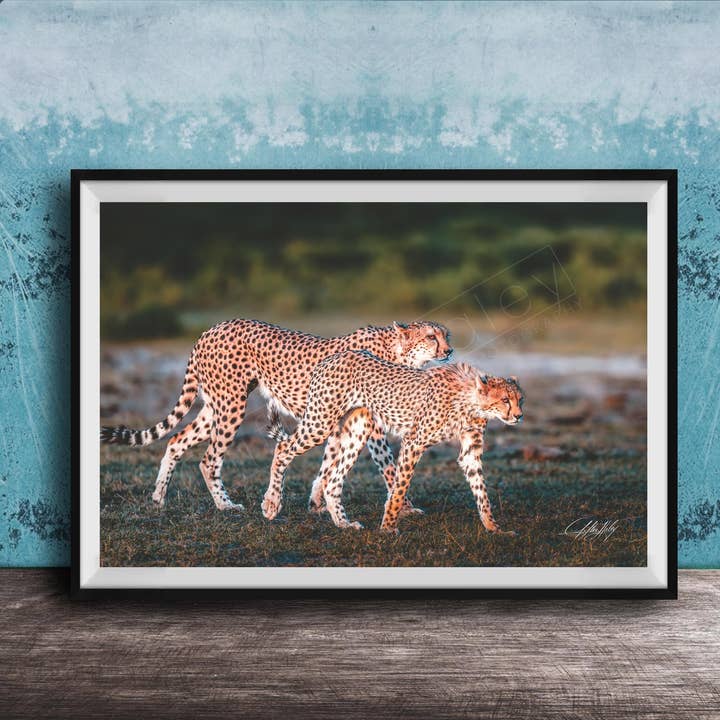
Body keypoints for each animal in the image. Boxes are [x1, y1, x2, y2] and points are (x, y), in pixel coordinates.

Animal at [100, 319, 452, 512]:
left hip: (216, 405)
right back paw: (225, 505)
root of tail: (211, 328)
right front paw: (404, 507)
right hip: (231, 405)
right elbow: (388, 465)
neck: (398, 354)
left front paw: (317, 501)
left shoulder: (337, 420)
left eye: (446, 335)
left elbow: (327, 461)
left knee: (176, 440)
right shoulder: (370, 425)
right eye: (430, 337)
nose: (449, 351)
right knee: (209, 458)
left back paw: (159, 497)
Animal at [264, 349, 523, 534]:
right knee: (283, 448)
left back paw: (344, 524)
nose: (519, 416)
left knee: (332, 481)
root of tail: (331, 358)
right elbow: (399, 488)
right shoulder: (413, 442)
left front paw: (494, 528)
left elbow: (481, 491)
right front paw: (388, 527)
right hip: (320, 423)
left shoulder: (470, 450)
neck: (470, 400)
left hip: (358, 431)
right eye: (505, 400)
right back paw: (272, 503)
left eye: (520, 399)